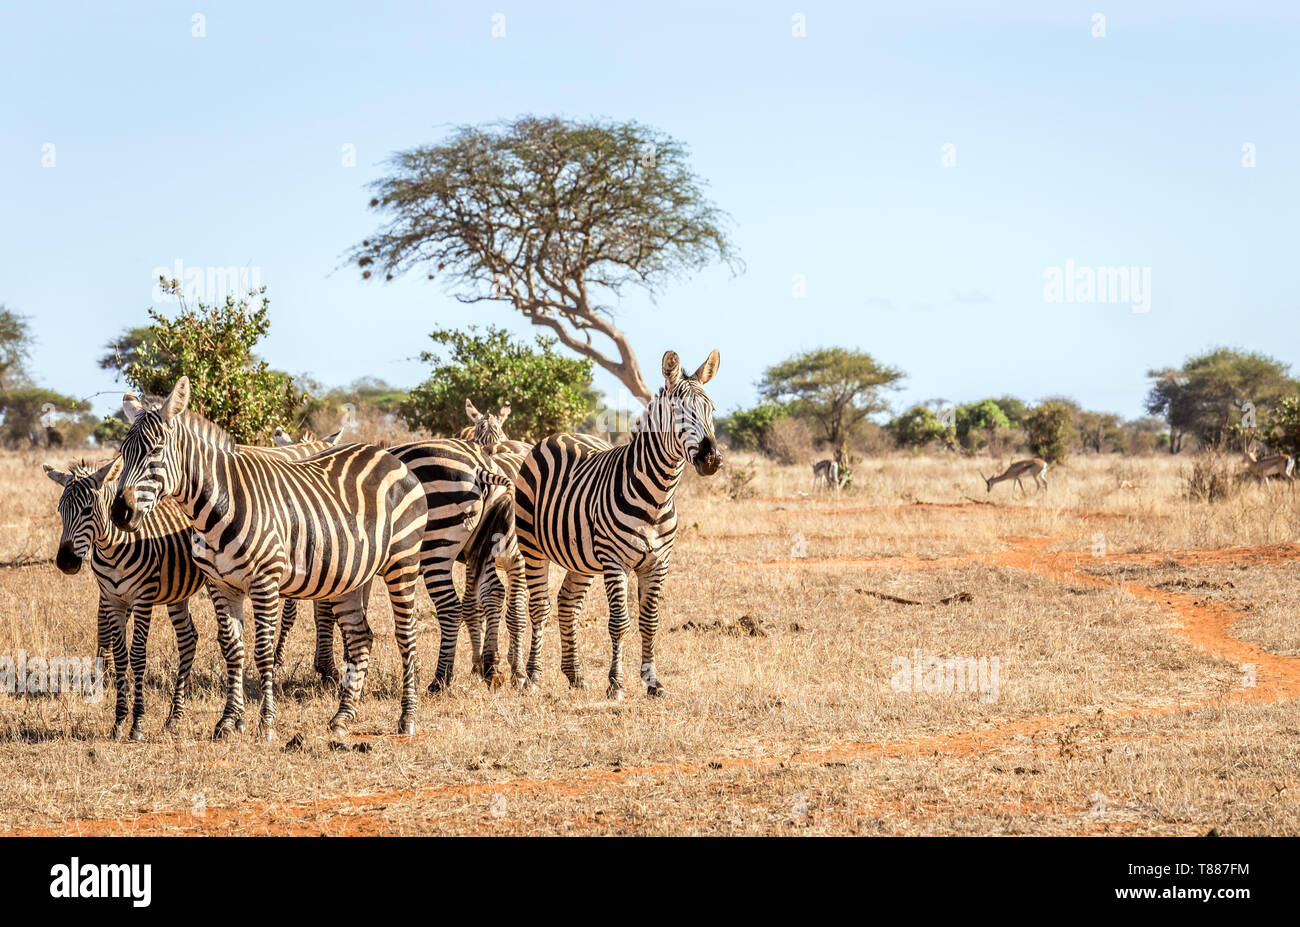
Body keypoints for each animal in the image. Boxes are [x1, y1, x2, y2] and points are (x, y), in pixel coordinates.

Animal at [110, 377, 426, 738]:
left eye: (156, 451)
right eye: (122, 454)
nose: (120, 513)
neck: (218, 502)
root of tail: (389, 455)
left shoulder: (265, 581)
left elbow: (262, 650)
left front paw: (267, 722)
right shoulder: (220, 585)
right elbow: (231, 648)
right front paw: (229, 720)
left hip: (403, 562)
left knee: (407, 635)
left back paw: (407, 717)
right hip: (351, 574)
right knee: (361, 638)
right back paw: (342, 717)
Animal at [514, 351, 722, 696]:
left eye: (712, 410)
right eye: (679, 411)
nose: (712, 460)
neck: (658, 495)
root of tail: (561, 434)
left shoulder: (658, 562)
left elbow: (649, 621)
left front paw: (652, 682)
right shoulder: (615, 561)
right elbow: (619, 623)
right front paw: (615, 684)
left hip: (581, 558)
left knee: (567, 603)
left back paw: (575, 675)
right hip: (532, 547)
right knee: (539, 607)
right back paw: (531, 677)